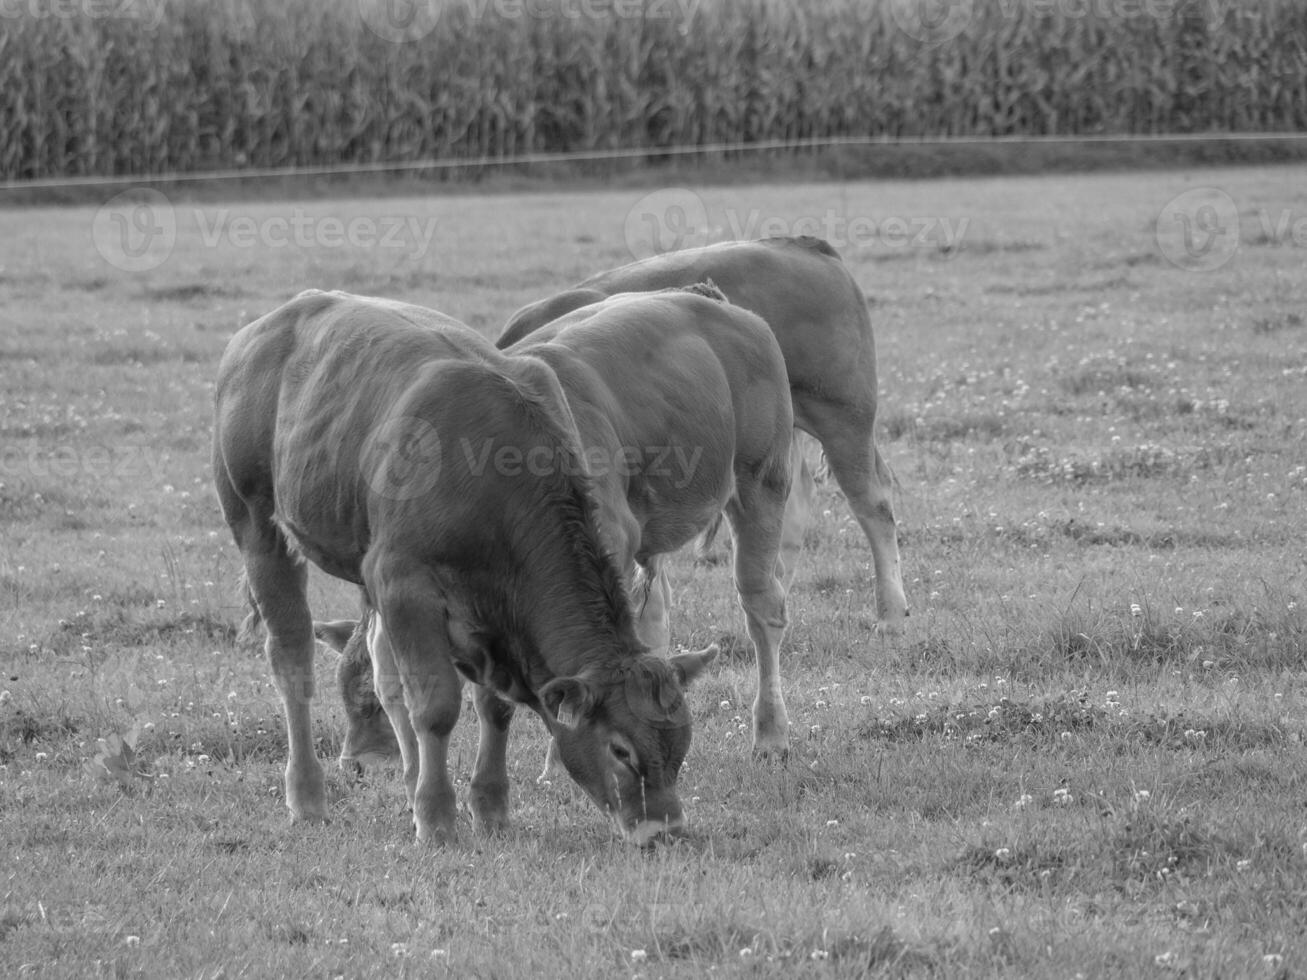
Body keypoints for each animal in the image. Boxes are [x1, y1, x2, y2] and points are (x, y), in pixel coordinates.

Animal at [218, 290, 721, 846]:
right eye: (620, 750)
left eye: (681, 745)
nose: (666, 831)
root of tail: (279, 317)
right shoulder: (404, 584)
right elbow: (435, 707)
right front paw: (437, 818)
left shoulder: (489, 612)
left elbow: (493, 707)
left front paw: (490, 807)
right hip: (256, 525)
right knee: (293, 661)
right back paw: (308, 797)